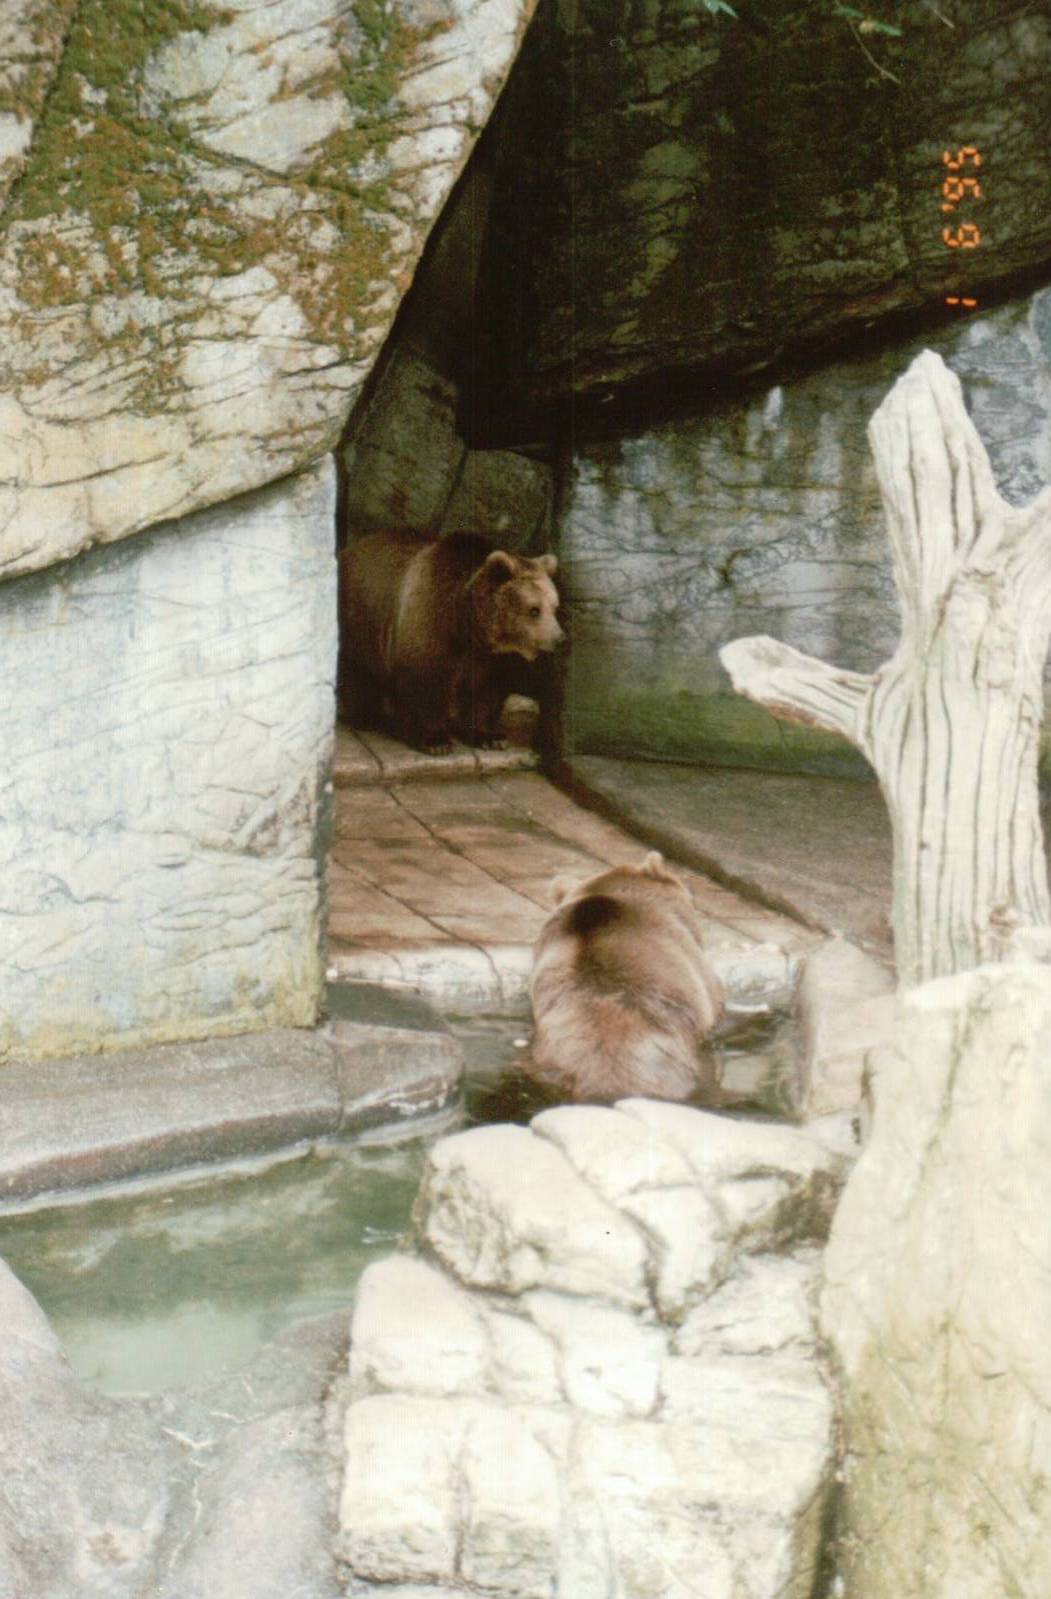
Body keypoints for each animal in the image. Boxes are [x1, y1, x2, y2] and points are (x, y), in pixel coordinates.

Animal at [338, 530, 563, 754]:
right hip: (360, 622)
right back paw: (366, 717)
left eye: (555, 607)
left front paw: (490, 737)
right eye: (534, 609)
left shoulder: (491, 658)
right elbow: (426, 682)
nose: (559, 639)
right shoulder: (432, 624)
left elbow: (485, 692)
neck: (469, 626)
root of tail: (349, 549)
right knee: (358, 673)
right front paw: (436, 741)